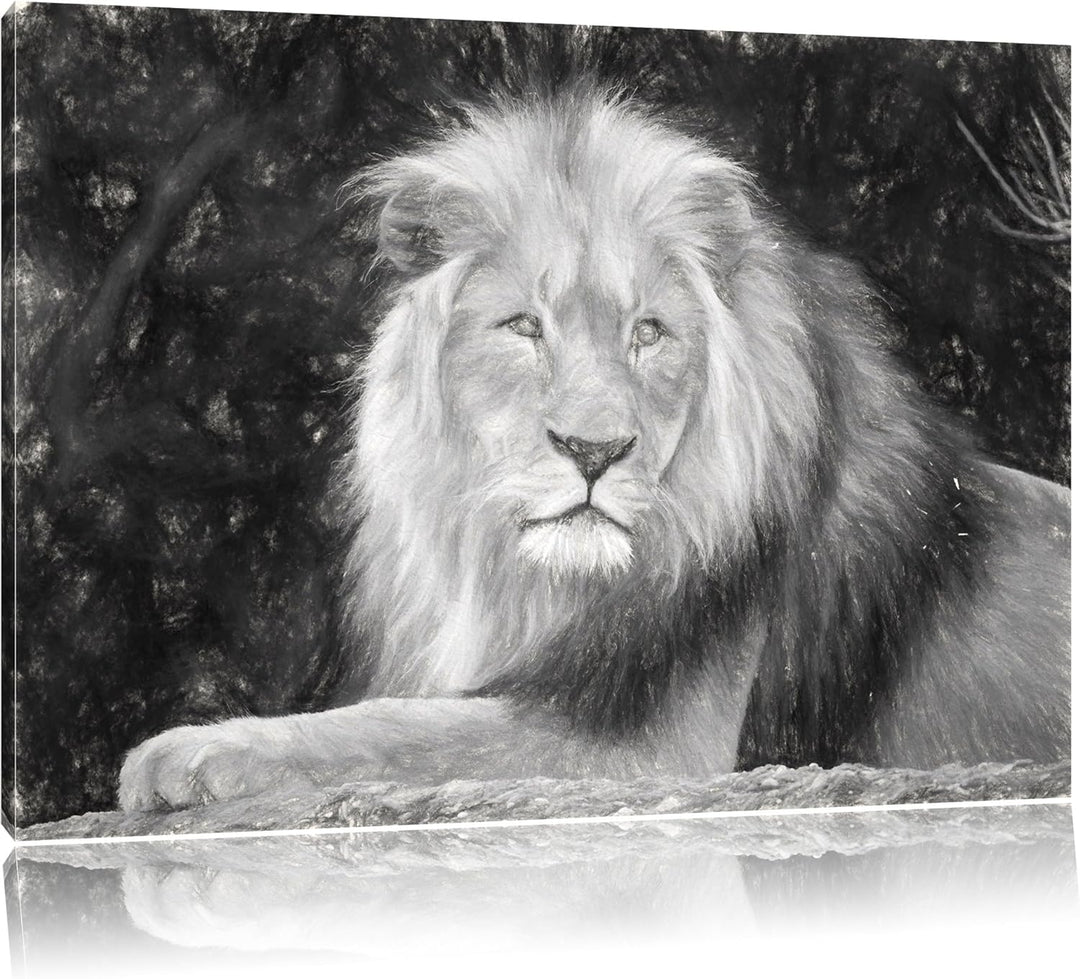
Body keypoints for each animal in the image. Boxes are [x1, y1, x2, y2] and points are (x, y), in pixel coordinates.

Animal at [118, 87, 1069, 813]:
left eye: (648, 332)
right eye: (523, 327)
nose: (594, 449)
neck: (531, 582)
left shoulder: (651, 748)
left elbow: (396, 726)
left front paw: (189, 751)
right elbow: (402, 715)